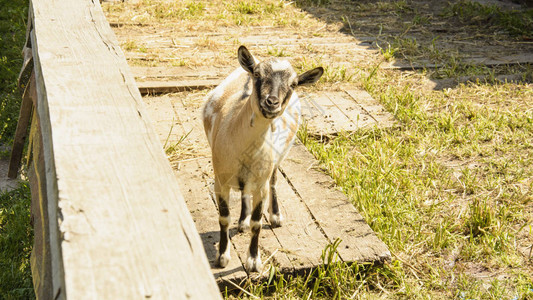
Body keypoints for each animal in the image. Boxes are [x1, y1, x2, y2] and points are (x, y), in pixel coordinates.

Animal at [202, 46, 322, 272]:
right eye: (257, 74)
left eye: (293, 84)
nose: (272, 102)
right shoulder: (220, 181)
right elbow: (224, 218)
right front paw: (222, 257)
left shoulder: (261, 184)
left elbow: (257, 223)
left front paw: (253, 261)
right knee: (243, 193)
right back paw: (242, 220)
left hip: (278, 158)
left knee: (274, 181)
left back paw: (275, 217)